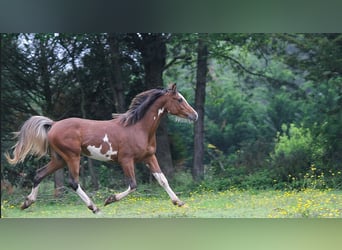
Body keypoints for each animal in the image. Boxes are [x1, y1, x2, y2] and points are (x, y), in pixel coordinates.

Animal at [5, 83, 198, 213]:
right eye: (179, 99)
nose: (195, 115)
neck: (138, 128)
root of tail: (53, 125)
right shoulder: (126, 160)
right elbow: (133, 185)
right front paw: (109, 199)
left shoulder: (149, 157)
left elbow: (162, 179)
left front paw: (178, 202)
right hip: (72, 157)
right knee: (73, 182)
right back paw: (95, 207)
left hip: (59, 159)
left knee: (39, 174)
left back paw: (26, 202)